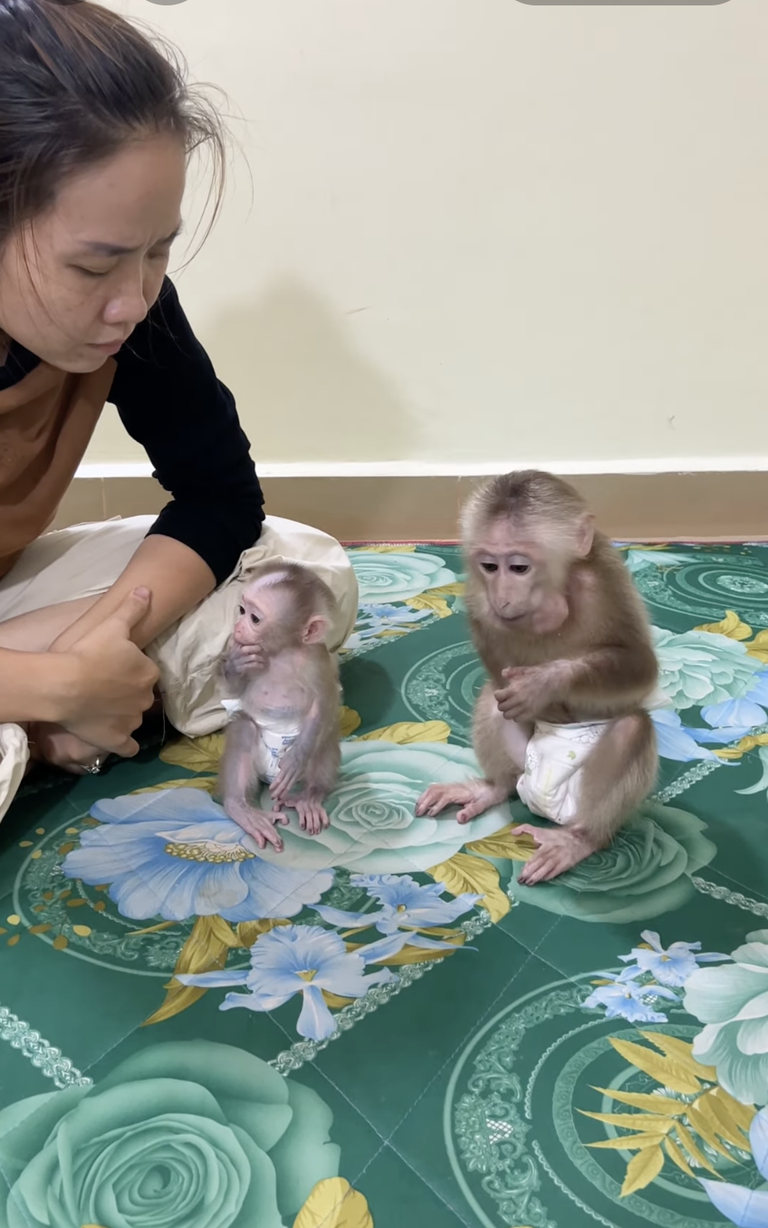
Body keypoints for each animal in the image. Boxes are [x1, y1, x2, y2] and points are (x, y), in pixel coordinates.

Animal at [217, 562, 342, 852]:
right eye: (241, 610)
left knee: (325, 736)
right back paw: (241, 808)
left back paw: (310, 796)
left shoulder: (317, 658)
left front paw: (297, 758)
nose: (237, 627)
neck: (281, 652)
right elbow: (235, 689)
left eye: (255, 619)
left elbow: (325, 700)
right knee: (244, 727)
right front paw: (236, 665)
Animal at [415, 469, 660, 885]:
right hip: (523, 769)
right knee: (494, 700)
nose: (502, 594)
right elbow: (501, 681)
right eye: (490, 567)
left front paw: (545, 683)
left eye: (518, 568)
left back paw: (580, 839)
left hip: (577, 803)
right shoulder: (477, 597)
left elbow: (641, 665)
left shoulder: (603, 580)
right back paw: (492, 789)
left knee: (633, 728)